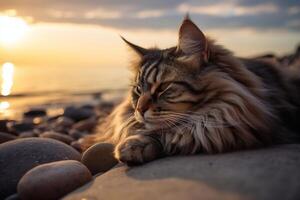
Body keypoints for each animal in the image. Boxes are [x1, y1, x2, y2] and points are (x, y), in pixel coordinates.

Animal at [80, 16, 300, 166]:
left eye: (163, 88)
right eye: (138, 90)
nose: (139, 110)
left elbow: (177, 133)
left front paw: (135, 146)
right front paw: (136, 144)